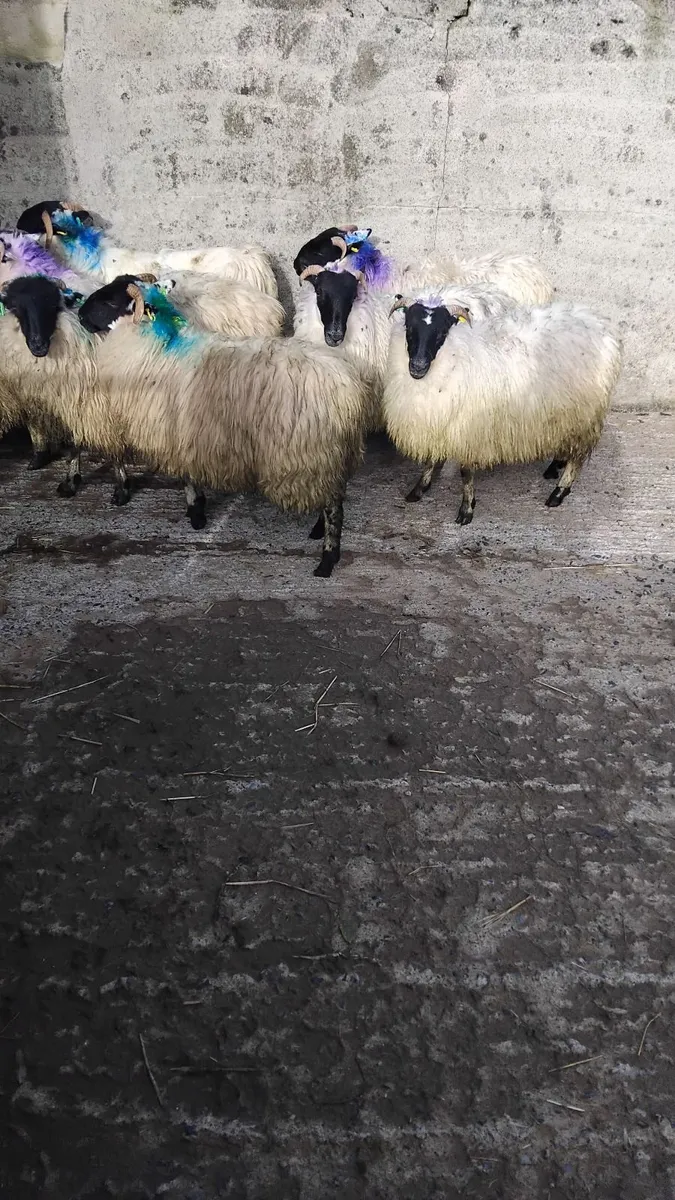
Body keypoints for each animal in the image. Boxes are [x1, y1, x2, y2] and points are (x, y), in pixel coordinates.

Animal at [7, 276, 370, 577]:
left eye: (110, 300)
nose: (80, 312)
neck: (158, 347)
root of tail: (349, 389)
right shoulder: (187, 434)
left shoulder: (176, 430)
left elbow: (187, 479)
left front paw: (195, 514)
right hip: (331, 456)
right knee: (334, 493)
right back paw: (318, 530)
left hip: (313, 451)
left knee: (334, 505)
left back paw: (327, 559)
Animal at [383, 294, 621, 515]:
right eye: (409, 328)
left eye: (441, 334)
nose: (417, 366)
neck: (457, 356)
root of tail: (604, 326)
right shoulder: (435, 422)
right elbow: (430, 461)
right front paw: (419, 489)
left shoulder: (469, 431)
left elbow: (466, 473)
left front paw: (467, 508)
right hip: (565, 410)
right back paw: (555, 466)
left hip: (586, 413)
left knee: (578, 456)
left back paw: (559, 492)